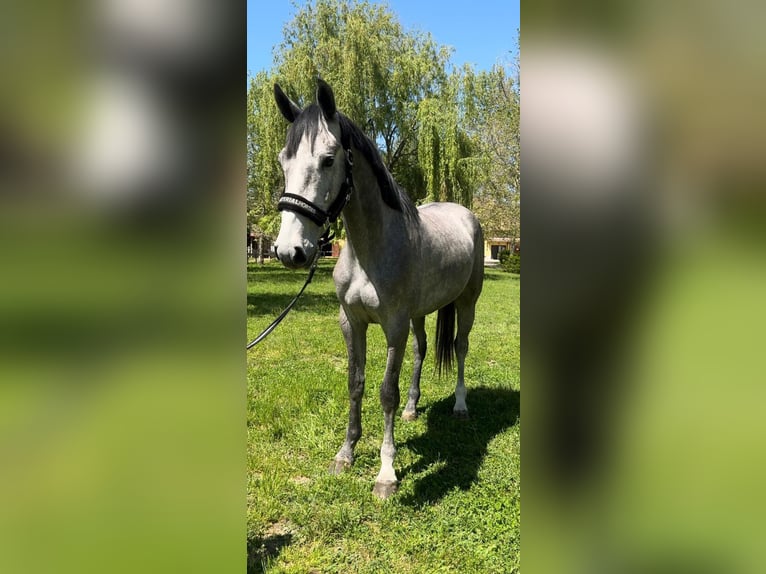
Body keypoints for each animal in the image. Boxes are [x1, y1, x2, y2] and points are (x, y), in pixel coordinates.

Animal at [272, 79, 484, 499]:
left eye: (328, 160)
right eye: (284, 160)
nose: (290, 251)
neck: (371, 251)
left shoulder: (393, 327)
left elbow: (386, 392)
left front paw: (386, 473)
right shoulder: (351, 322)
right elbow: (355, 384)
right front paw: (345, 454)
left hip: (466, 304)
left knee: (460, 347)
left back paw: (461, 407)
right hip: (419, 315)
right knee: (421, 350)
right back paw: (413, 409)